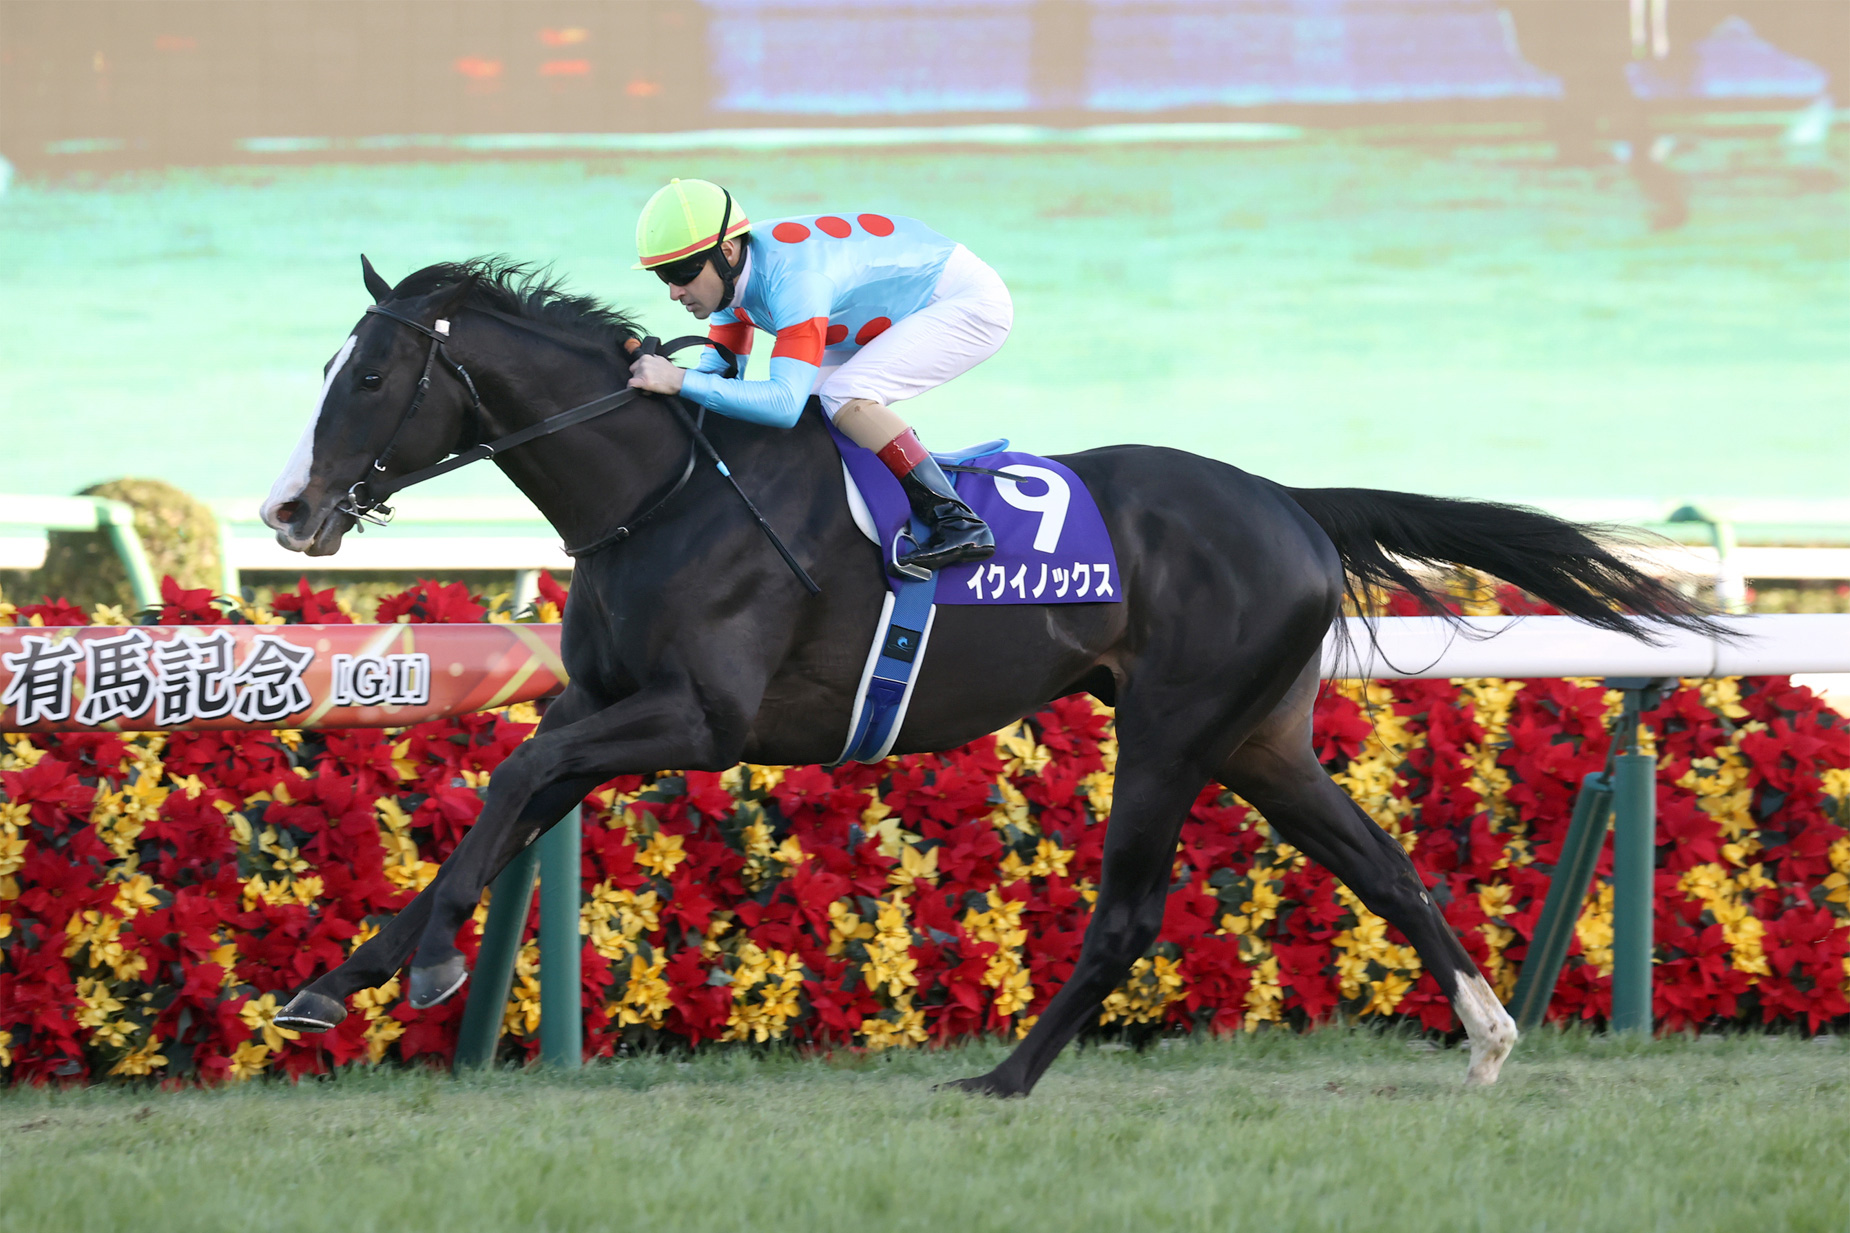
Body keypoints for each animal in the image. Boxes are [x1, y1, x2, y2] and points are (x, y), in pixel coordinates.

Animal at [264, 257, 1715, 1093]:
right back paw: (1486, 1034)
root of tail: (1289, 502)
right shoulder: (604, 706)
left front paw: (420, 971)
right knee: (1385, 865)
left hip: (1174, 727)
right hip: (1260, 737)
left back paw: (1005, 1079)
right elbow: (509, 802)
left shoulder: (696, 720)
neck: (664, 491)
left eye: (374, 372)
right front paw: (342, 981)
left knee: (1131, 913)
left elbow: (514, 777)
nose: (288, 510)